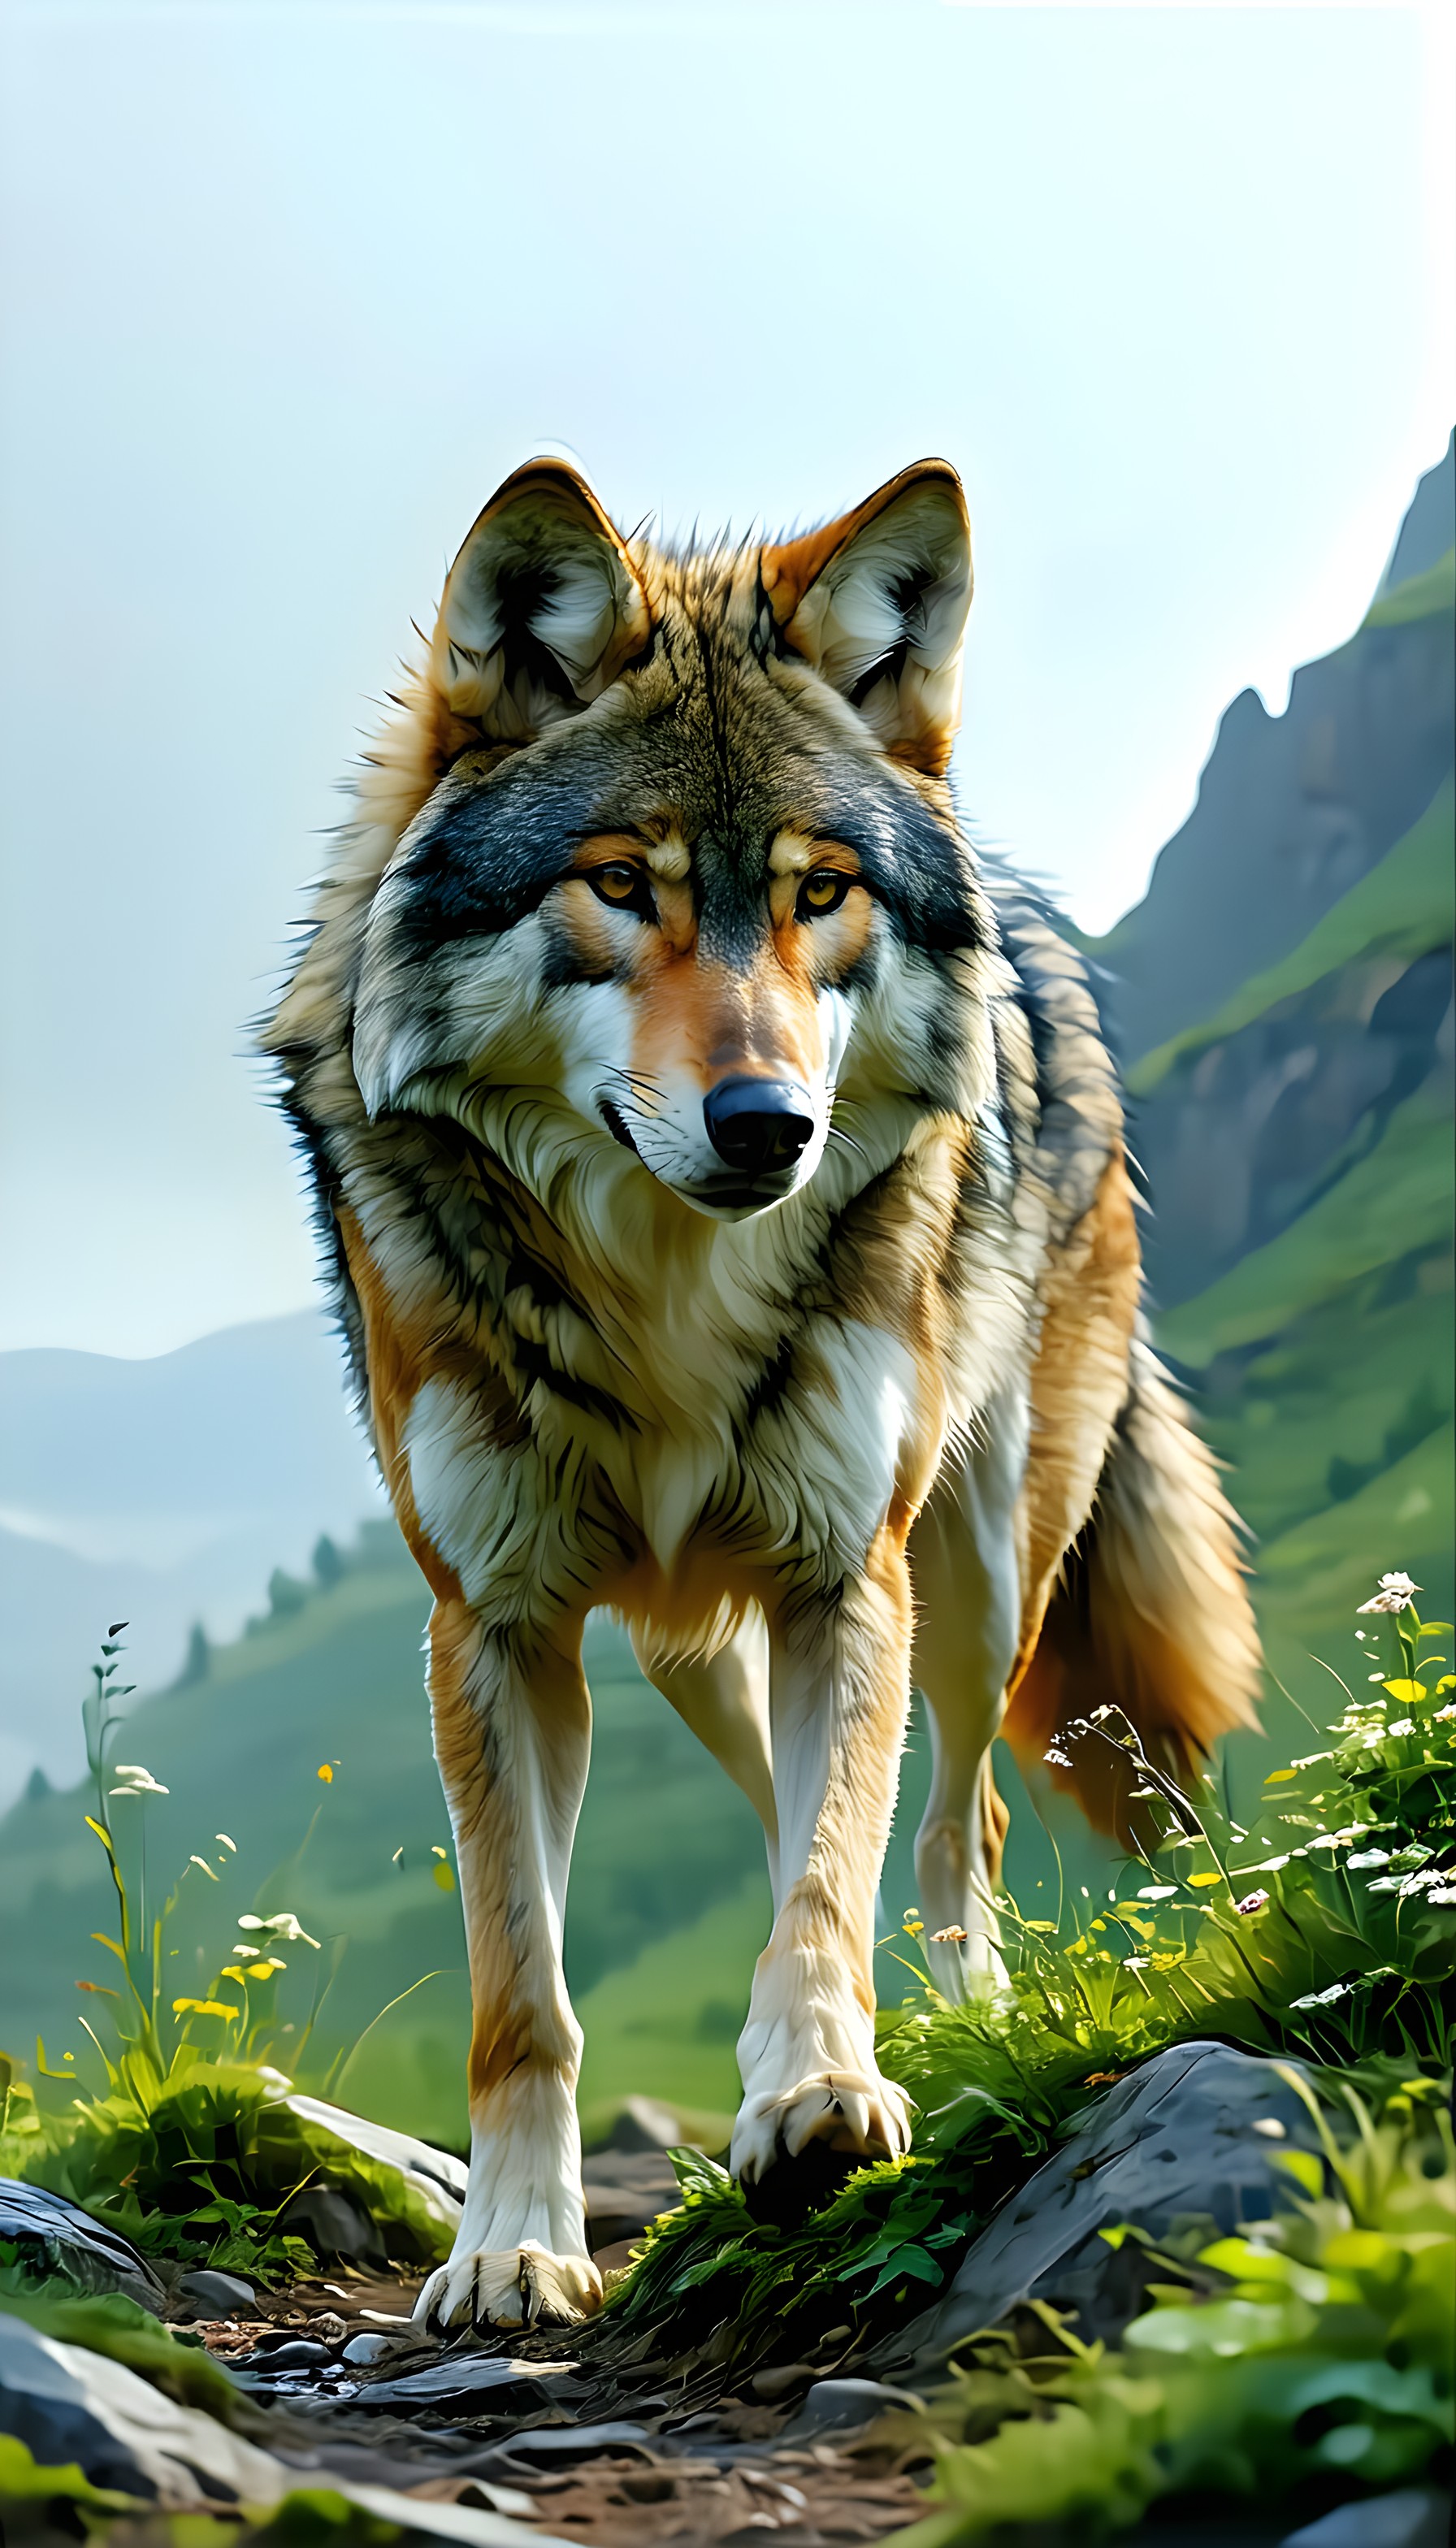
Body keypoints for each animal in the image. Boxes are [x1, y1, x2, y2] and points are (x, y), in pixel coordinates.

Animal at [263, 456, 1260, 2334]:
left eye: (817, 893)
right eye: (617, 882)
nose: (768, 1126)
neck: (664, 1285)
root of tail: (1031, 916)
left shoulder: (836, 1578)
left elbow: (822, 1877)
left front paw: (818, 2094)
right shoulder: (493, 1625)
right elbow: (525, 1990)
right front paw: (509, 2244)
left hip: (975, 1575)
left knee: (952, 1815)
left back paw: (961, 2023)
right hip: (691, 1649)